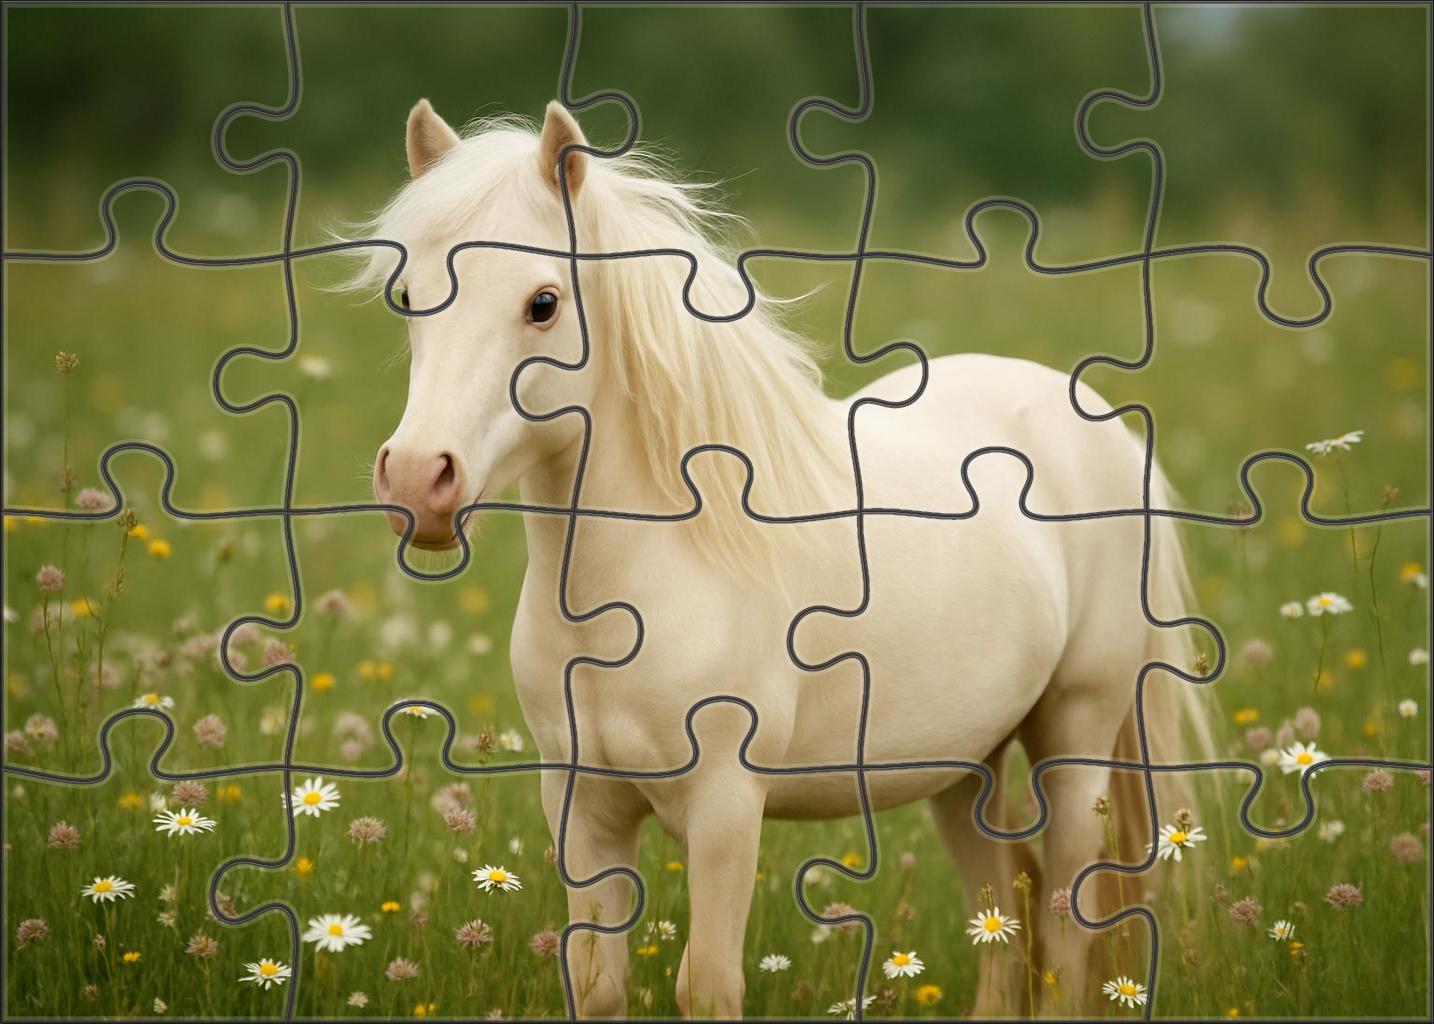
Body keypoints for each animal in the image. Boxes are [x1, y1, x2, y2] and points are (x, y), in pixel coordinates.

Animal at [350, 99, 1214, 1018]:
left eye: (543, 303)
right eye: (407, 296)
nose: (418, 481)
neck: (648, 581)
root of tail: (1098, 420)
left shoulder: (727, 807)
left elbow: (707, 984)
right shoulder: (582, 809)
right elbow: (597, 983)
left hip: (1074, 739)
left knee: (1065, 922)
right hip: (964, 766)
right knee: (1005, 908)